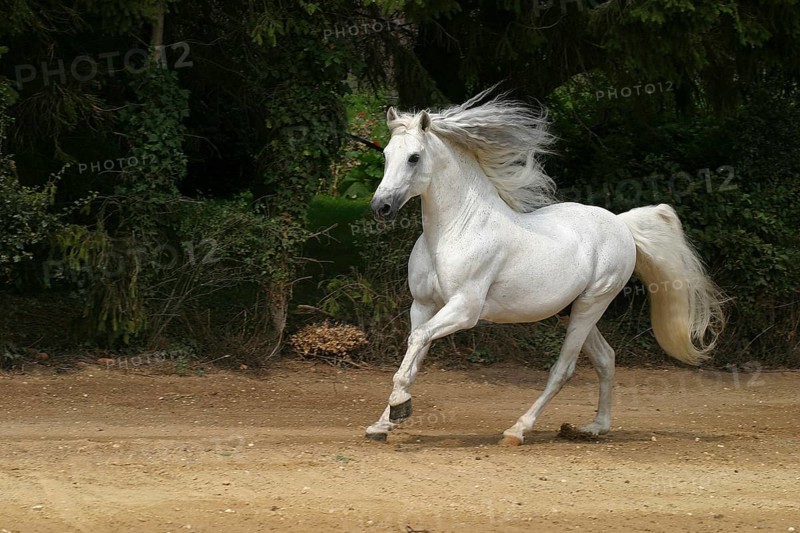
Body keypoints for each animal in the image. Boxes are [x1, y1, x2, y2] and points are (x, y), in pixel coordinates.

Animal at [365, 88, 726, 445]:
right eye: (386, 155)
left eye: (414, 157)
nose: (381, 207)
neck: (456, 229)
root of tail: (622, 224)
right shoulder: (423, 306)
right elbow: (413, 355)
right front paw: (383, 423)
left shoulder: (464, 309)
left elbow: (417, 343)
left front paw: (399, 406)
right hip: (574, 309)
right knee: (606, 358)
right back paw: (594, 427)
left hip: (592, 304)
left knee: (563, 370)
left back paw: (518, 430)